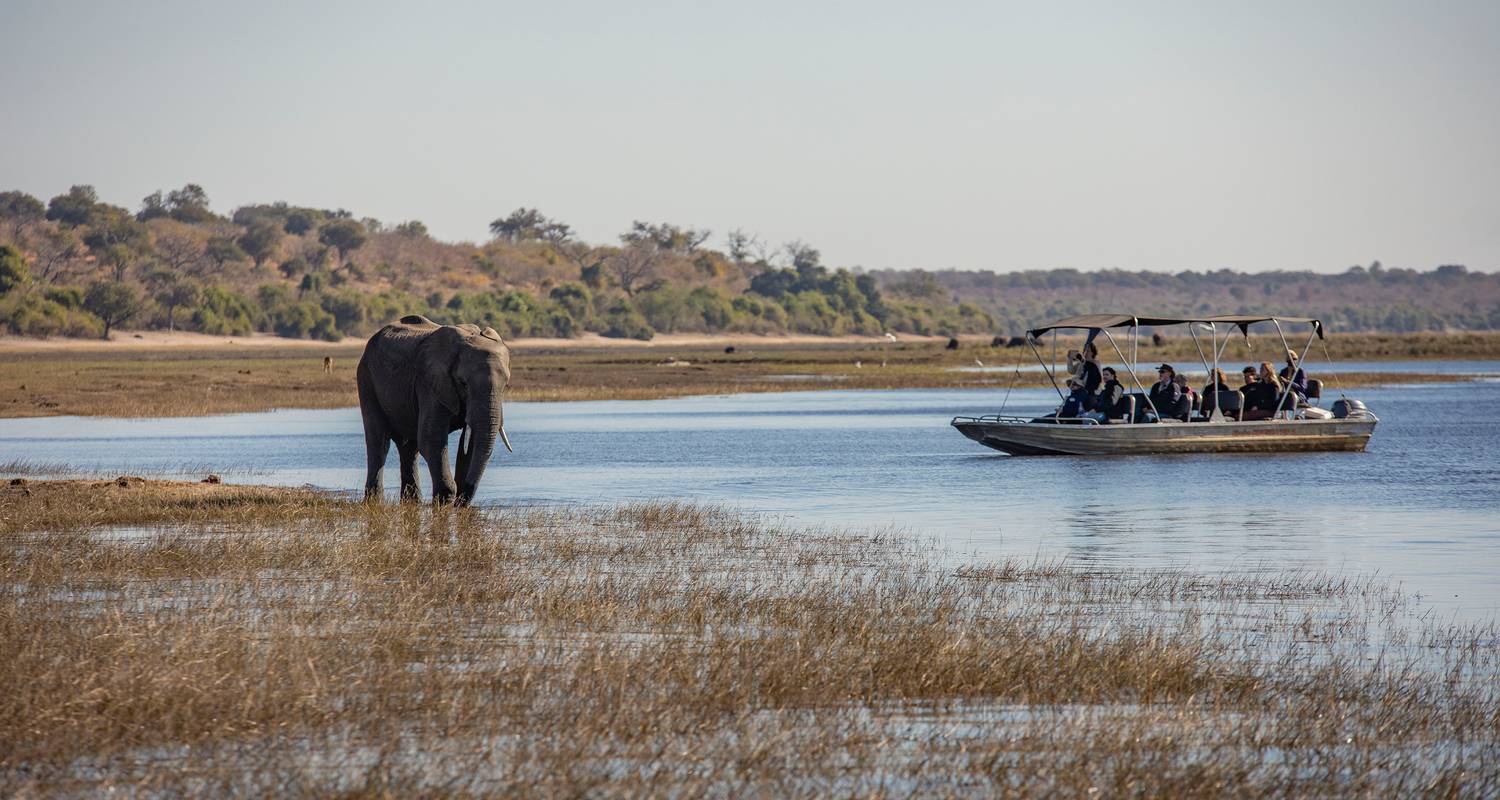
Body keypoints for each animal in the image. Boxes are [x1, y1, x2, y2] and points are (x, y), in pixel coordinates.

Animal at [357, 315, 516, 501]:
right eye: (464, 384)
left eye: (505, 385)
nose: (464, 490)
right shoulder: (430, 383)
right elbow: (431, 439)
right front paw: (446, 498)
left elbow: (470, 443)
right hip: (366, 378)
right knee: (379, 442)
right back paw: (374, 500)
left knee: (409, 448)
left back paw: (411, 501)